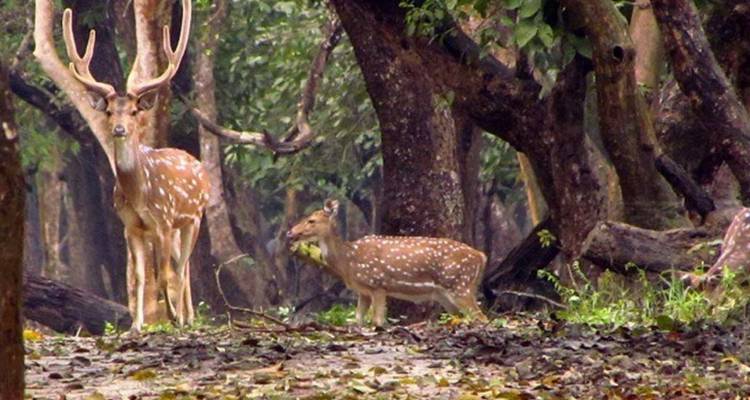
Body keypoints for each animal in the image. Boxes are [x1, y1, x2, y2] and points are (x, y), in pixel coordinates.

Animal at [61, 0, 209, 331]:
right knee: (183, 266)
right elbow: (141, 277)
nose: (119, 129)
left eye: (132, 111)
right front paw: (137, 324)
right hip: (178, 226)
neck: (140, 192)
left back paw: (187, 317)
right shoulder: (131, 226)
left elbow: (165, 276)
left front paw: (173, 318)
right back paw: (188, 315)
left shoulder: (163, 221)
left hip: (194, 217)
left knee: (183, 267)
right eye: (109, 112)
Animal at [286, 199, 488, 326]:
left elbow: (377, 321)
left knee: (481, 317)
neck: (349, 261)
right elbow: (357, 320)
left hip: (459, 284)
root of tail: (481, 256)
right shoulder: (363, 291)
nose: (290, 232)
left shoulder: (378, 284)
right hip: (447, 294)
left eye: (311, 220)